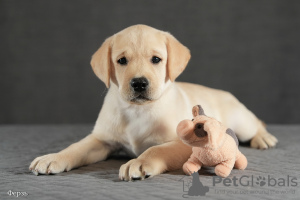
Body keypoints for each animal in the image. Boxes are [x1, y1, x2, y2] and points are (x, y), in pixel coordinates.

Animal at [29, 24, 278, 180]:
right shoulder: (101, 139)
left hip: (241, 122)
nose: (139, 83)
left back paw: (264, 137)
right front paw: (53, 158)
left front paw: (139, 162)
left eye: (156, 59)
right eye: (121, 60)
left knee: (257, 123)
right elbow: (76, 147)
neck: (137, 111)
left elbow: (156, 149)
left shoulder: (184, 143)